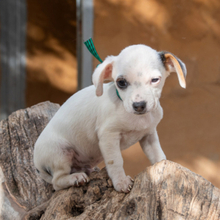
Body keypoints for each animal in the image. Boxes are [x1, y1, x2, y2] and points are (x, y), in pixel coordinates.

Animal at [33, 44, 186, 192]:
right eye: (121, 82)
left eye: (155, 80)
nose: (139, 105)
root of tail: (38, 167)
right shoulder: (109, 136)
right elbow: (116, 161)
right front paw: (121, 182)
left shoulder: (148, 135)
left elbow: (158, 156)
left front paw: (163, 169)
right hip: (61, 153)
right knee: (57, 182)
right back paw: (75, 178)